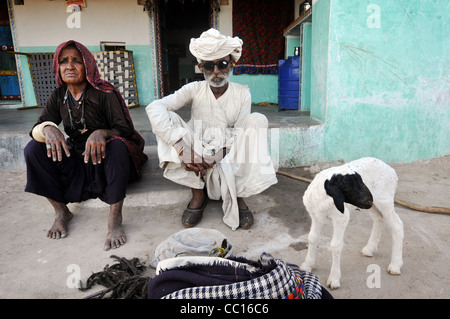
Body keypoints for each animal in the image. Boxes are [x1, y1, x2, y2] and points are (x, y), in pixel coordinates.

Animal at [298, 158, 404, 290]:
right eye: (347, 186)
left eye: (361, 180)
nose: (369, 199)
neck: (324, 201)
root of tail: (391, 170)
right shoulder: (316, 216)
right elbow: (312, 238)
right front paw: (307, 265)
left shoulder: (341, 218)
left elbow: (336, 245)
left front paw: (334, 279)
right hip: (373, 205)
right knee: (379, 219)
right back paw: (369, 249)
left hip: (384, 200)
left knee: (397, 225)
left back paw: (395, 265)